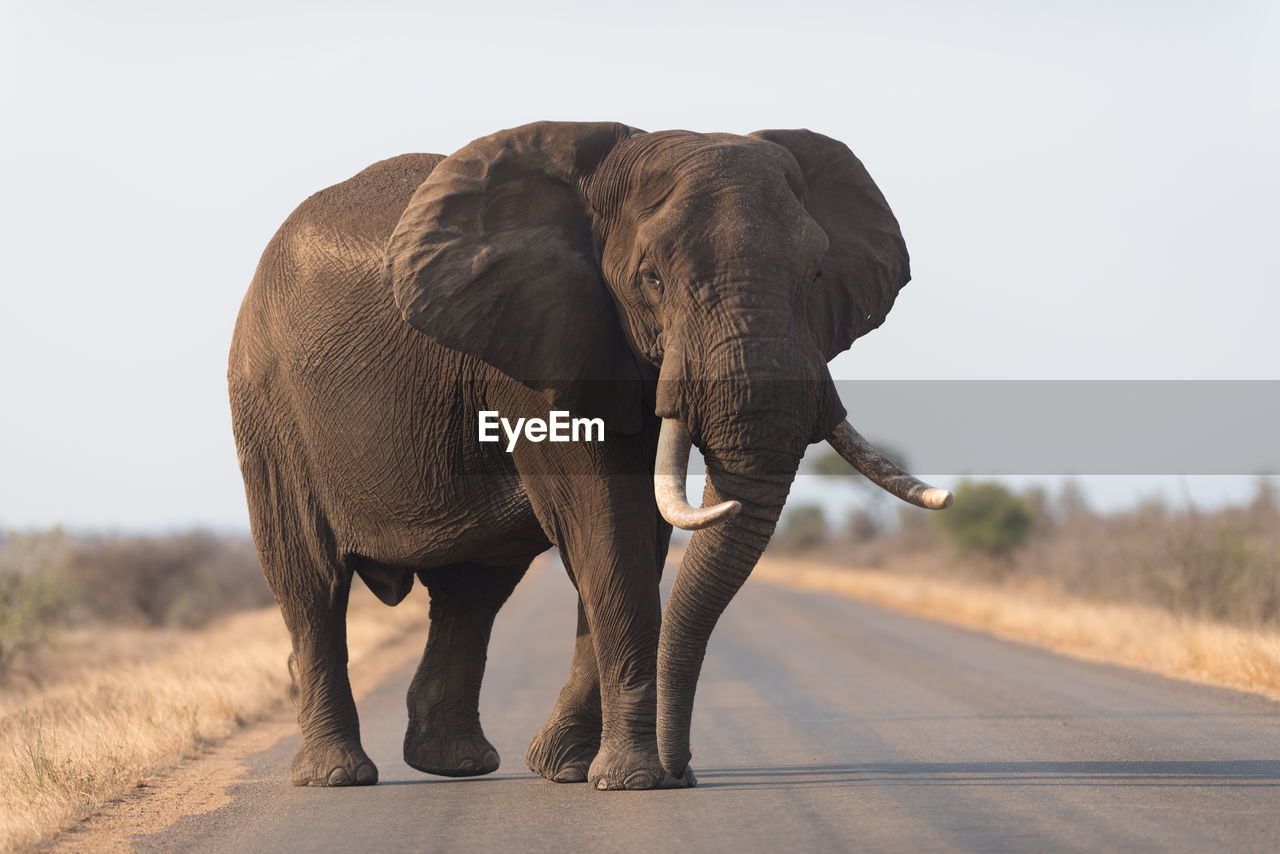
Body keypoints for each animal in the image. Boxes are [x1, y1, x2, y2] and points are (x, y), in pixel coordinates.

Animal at [227, 118, 952, 788]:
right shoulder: (536, 350)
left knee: (473, 591)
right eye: (652, 279)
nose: (685, 771)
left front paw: (572, 770)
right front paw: (632, 780)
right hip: (267, 409)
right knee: (310, 582)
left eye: (818, 273)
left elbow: (637, 536)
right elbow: (606, 525)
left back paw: (456, 765)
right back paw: (338, 775)